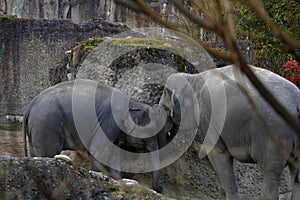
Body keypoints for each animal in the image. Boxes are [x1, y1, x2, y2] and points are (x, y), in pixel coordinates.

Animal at [23, 78, 172, 192]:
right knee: (47, 153)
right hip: (46, 125)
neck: (132, 102)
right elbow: (98, 152)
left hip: (37, 129)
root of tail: (30, 106)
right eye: (151, 134)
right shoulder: (108, 122)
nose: (159, 189)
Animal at [159, 65, 300, 199]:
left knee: (270, 171)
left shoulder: (209, 117)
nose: (160, 189)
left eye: (165, 109)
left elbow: (217, 154)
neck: (193, 78)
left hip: (274, 135)